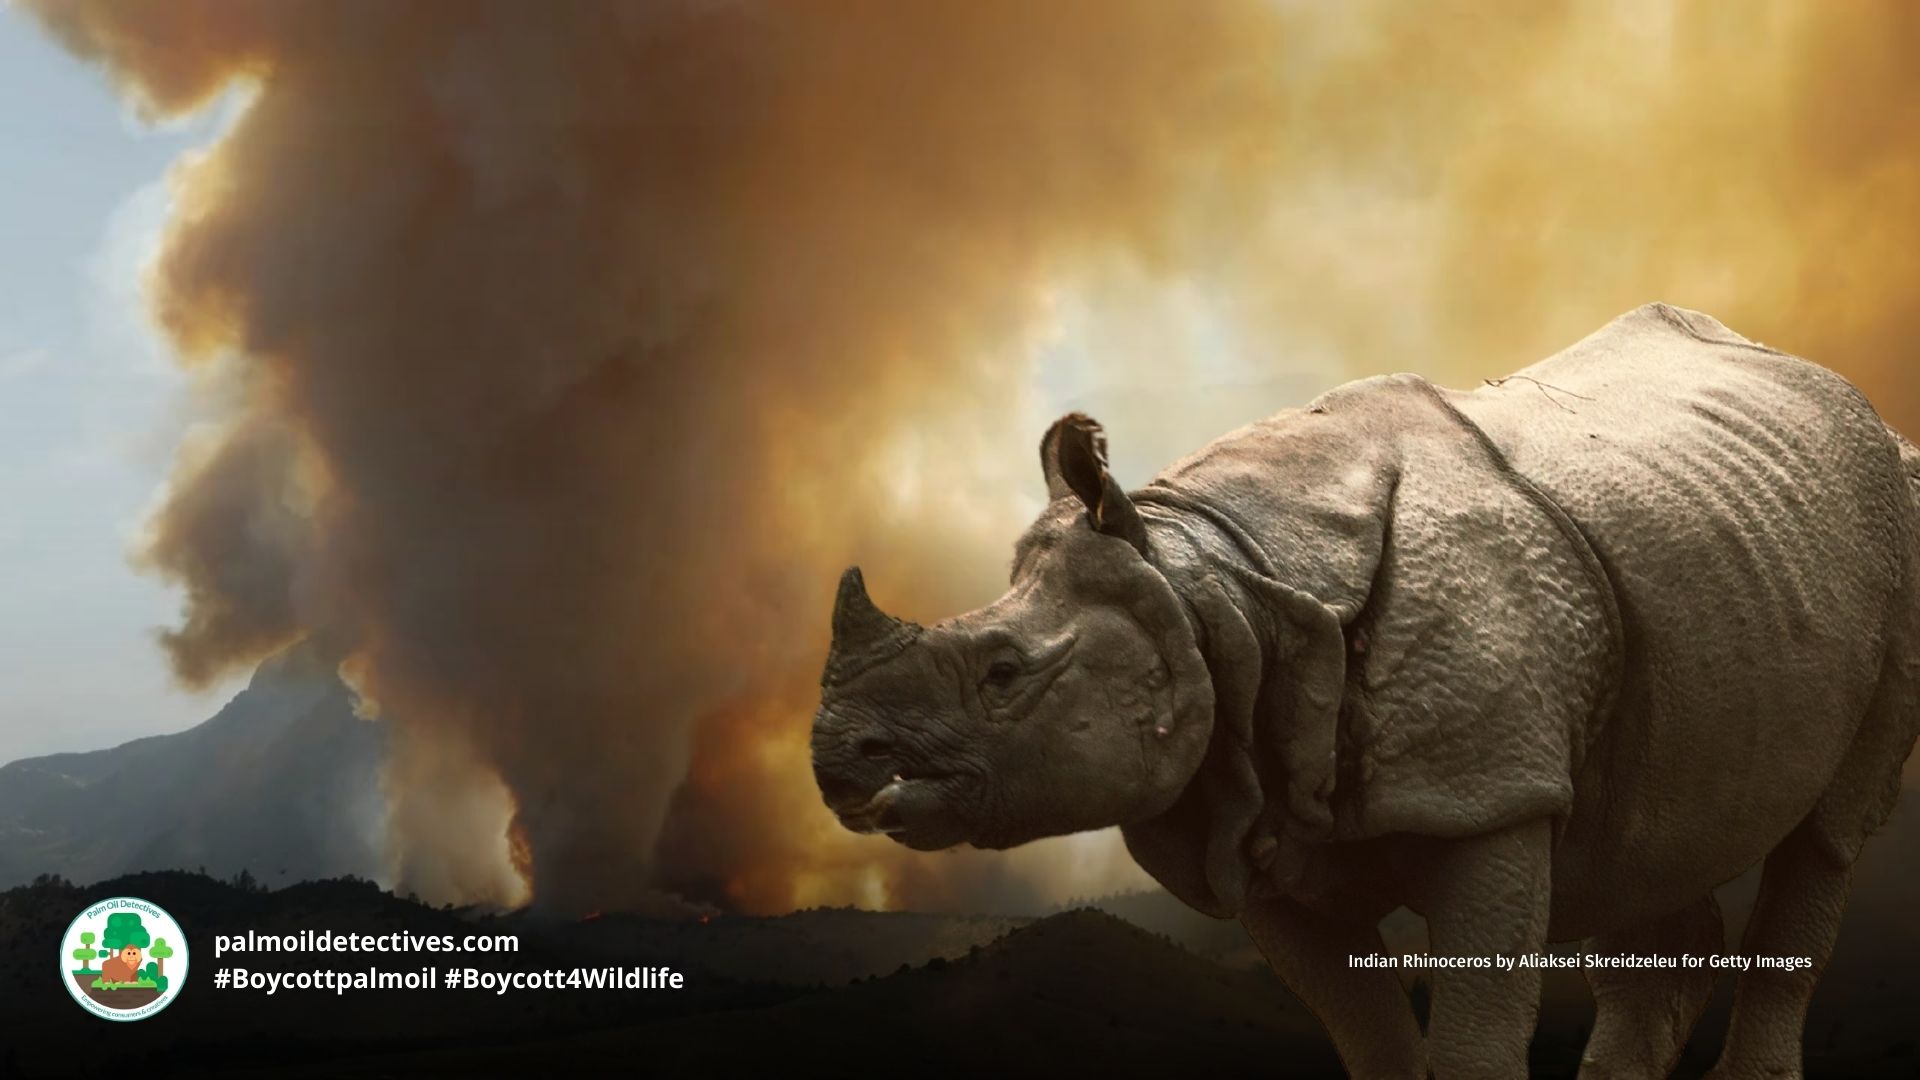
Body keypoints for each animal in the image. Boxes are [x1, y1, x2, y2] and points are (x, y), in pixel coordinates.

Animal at [811, 303, 1920, 1079]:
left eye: (1004, 675)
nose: (838, 761)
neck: (1217, 585)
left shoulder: (1493, 793)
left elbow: (1472, 1040)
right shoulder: (1252, 811)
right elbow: (1372, 1039)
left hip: (1897, 522)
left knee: (1828, 833)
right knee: (1656, 834)